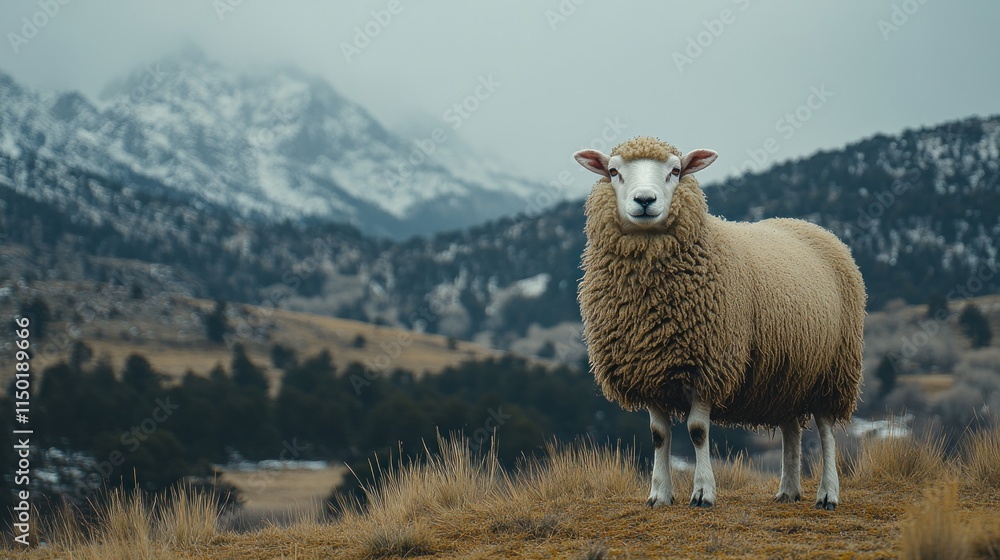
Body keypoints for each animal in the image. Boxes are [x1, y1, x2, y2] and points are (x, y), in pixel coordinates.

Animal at [573, 136, 865, 510]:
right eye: (613, 171)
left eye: (675, 171)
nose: (645, 200)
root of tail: (811, 227)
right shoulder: (649, 367)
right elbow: (658, 436)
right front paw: (659, 494)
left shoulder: (709, 364)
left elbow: (698, 431)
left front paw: (703, 492)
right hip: (787, 371)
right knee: (791, 429)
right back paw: (788, 489)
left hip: (833, 368)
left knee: (827, 429)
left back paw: (827, 493)